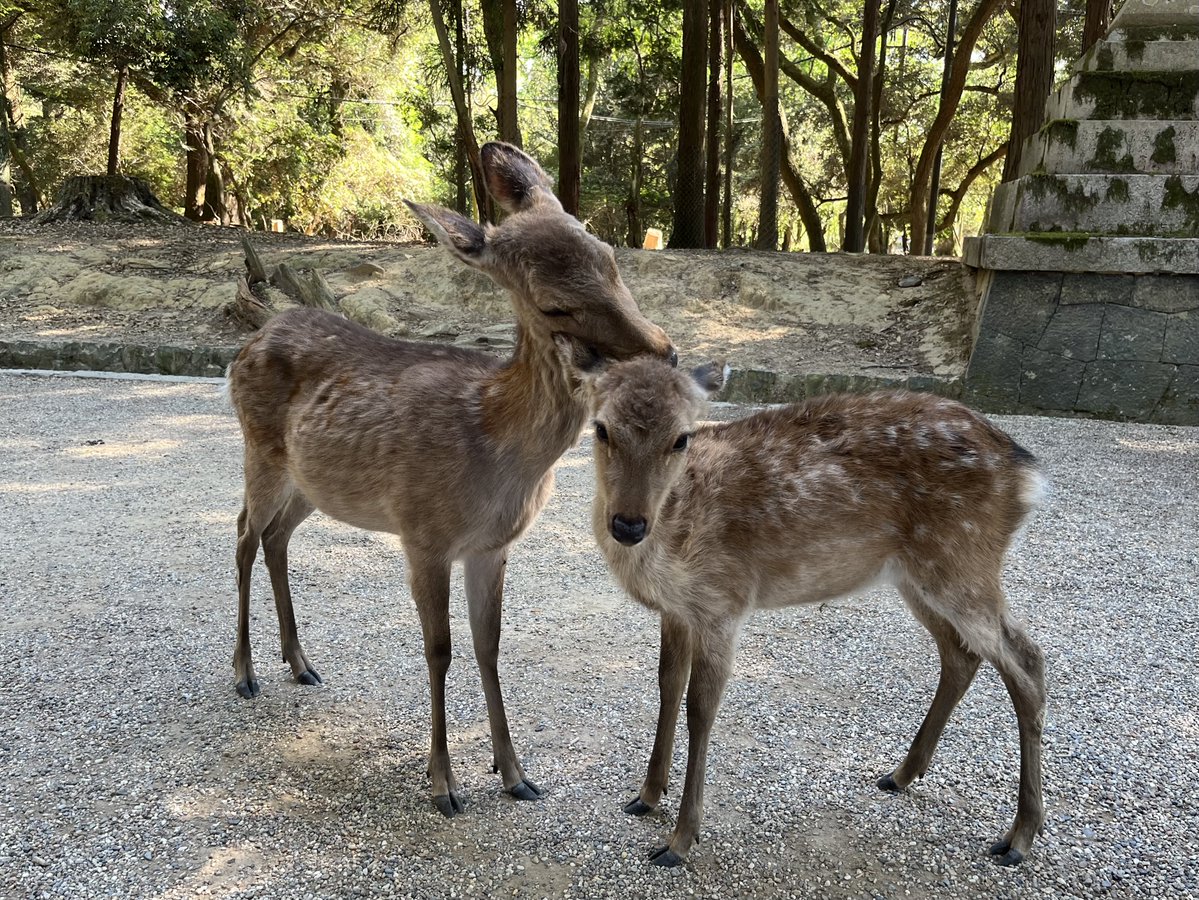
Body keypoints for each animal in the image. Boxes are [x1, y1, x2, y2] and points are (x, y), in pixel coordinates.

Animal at [226, 142, 675, 818]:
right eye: (555, 305)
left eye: (609, 257)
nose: (664, 350)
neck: (498, 449)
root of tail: (245, 344)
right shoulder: (424, 534)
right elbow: (439, 648)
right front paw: (443, 783)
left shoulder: (491, 546)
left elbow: (489, 645)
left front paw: (515, 773)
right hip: (261, 449)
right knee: (244, 533)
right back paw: (245, 672)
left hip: (313, 483)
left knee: (277, 537)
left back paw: (300, 663)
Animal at [584, 356, 1047, 868]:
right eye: (601, 428)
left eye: (681, 437)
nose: (628, 525)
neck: (675, 533)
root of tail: (1026, 473)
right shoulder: (678, 609)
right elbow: (667, 687)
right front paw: (646, 796)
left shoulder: (723, 600)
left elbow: (700, 708)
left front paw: (681, 840)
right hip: (917, 576)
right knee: (962, 654)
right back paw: (901, 775)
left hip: (963, 560)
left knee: (1027, 659)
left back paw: (1019, 836)